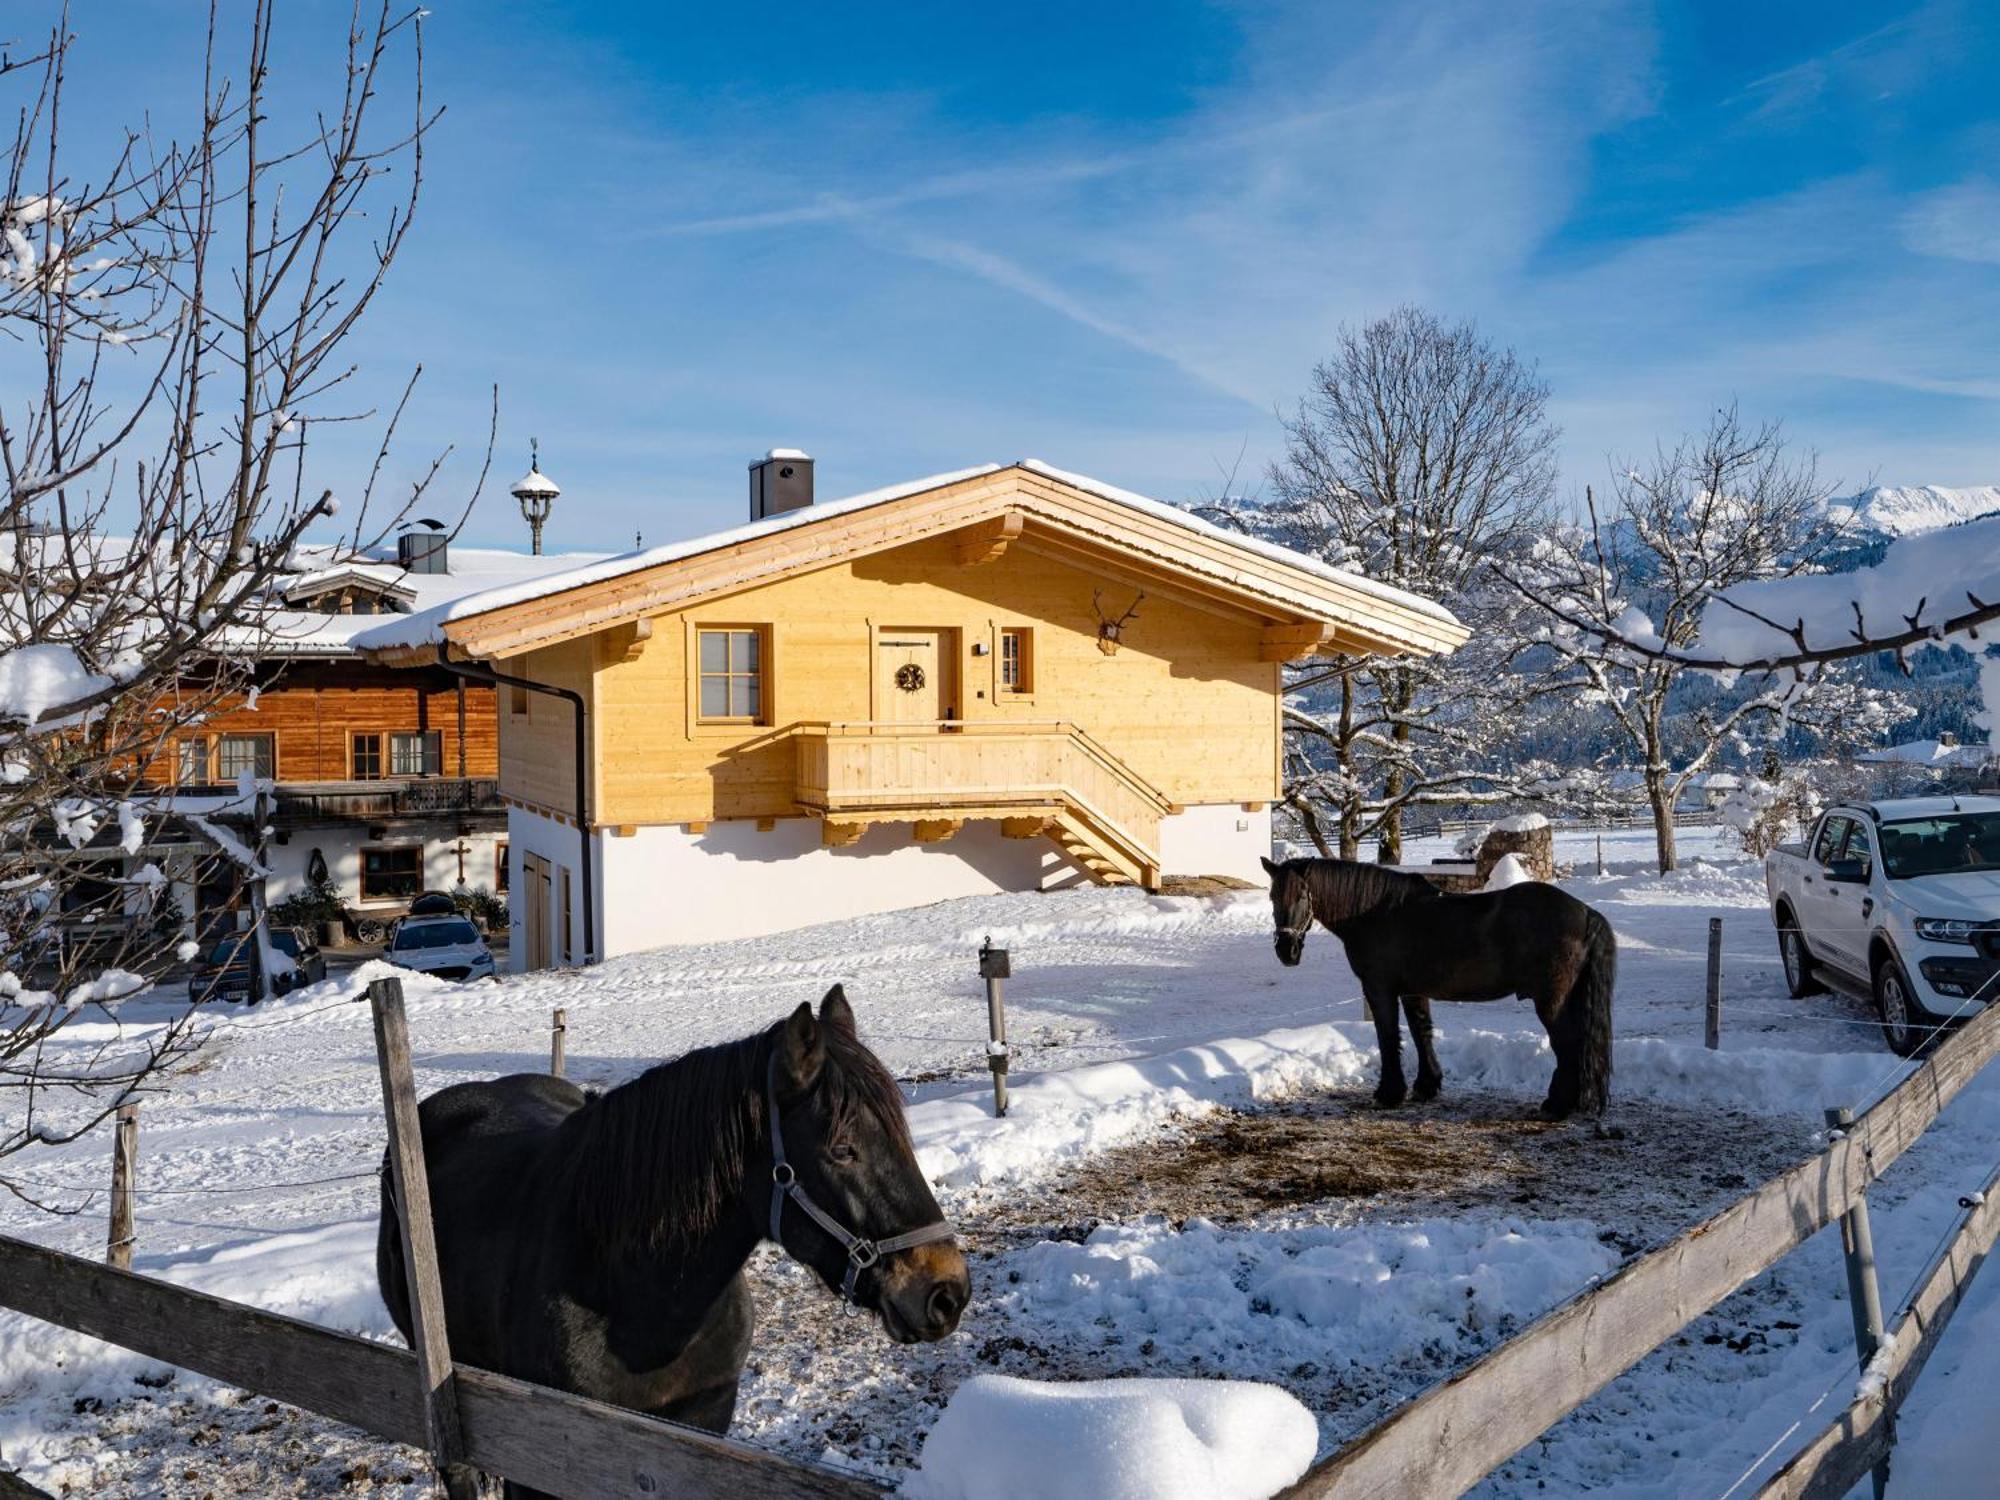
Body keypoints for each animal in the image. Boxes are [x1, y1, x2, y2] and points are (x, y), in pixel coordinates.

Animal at [1272, 864, 1616, 1120]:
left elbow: (1388, 1036)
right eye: (1273, 895)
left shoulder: (1379, 989)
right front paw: (1426, 1086)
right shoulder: (1413, 991)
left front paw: (1388, 1093)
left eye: (1302, 894)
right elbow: (1420, 1032)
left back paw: (1556, 1106)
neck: (1377, 913)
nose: (1286, 951)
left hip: (1551, 1002)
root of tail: (1586, 913)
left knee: (1567, 1044)